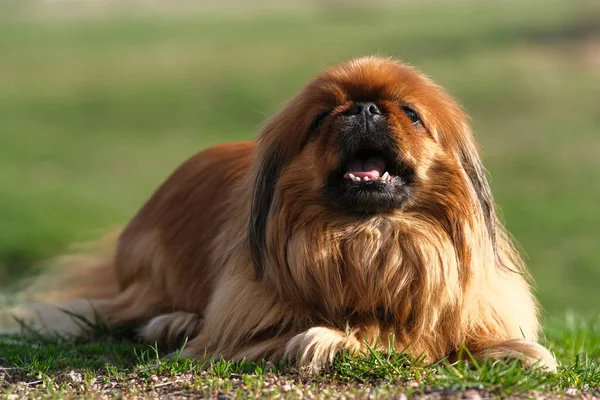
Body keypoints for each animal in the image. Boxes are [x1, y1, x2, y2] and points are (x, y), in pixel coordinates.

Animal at [9, 55, 556, 372]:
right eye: (322, 118)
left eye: (411, 113)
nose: (365, 108)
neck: (372, 238)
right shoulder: (244, 334)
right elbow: (338, 336)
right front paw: (339, 340)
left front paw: (517, 354)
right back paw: (172, 321)